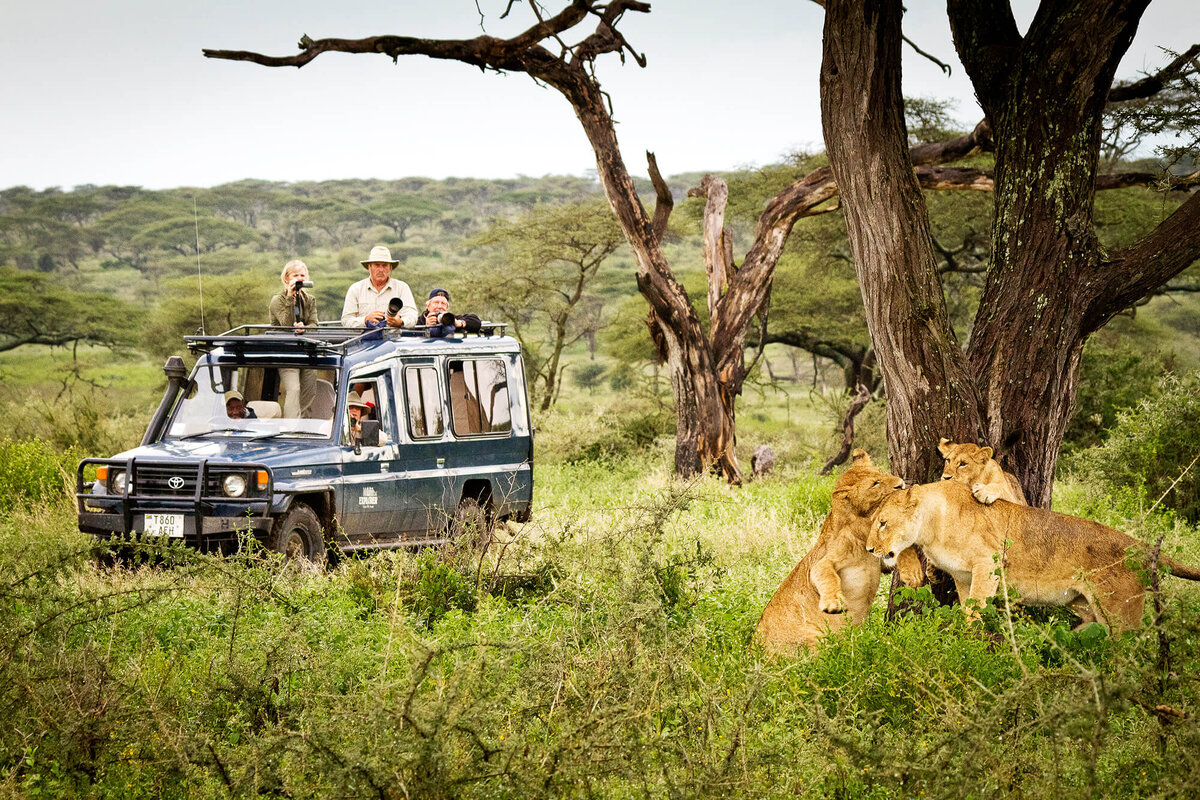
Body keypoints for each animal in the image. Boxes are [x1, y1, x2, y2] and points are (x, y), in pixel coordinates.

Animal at [753, 448, 921, 652]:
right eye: (874, 484)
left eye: (881, 472)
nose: (901, 484)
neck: (865, 525)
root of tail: (752, 649)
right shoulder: (824, 560)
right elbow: (825, 575)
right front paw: (833, 603)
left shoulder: (881, 562)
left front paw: (913, 573)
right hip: (813, 637)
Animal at [864, 479, 1200, 628]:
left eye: (882, 523)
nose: (869, 549)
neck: (932, 526)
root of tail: (1136, 545)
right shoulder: (962, 577)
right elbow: (965, 604)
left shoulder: (988, 564)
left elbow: (975, 610)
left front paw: (968, 640)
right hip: (1087, 606)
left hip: (1120, 611)